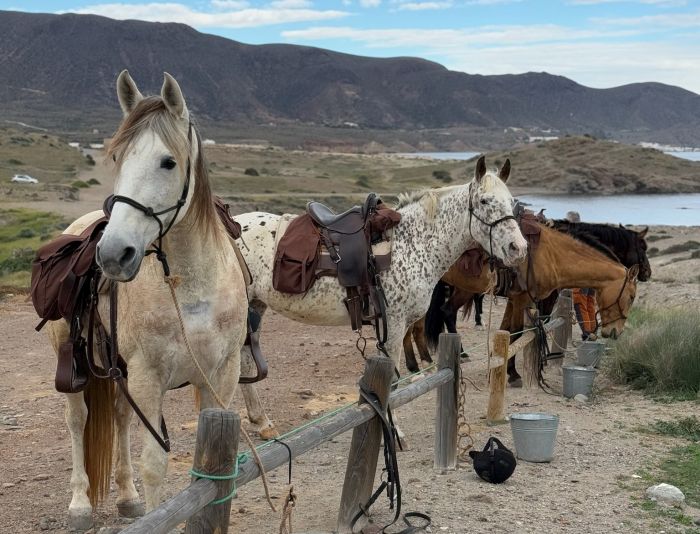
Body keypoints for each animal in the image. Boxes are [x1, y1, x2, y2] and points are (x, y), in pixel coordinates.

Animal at [44, 72, 249, 532]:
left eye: (168, 162)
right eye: (117, 156)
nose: (112, 254)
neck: (190, 287)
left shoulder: (221, 376)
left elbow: (211, 469)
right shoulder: (148, 378)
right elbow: (155, 466)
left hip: (117, 370)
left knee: (120, 418)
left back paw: (127, 497)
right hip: (75, 363)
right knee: (76, 420)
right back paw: (80, 504)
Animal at [235, 157, 524, 442]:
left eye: (512, 202)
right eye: (484, 201)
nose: (518, 249)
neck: (414, 245)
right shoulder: (393, 323)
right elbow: (392, 380)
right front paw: (394, 432)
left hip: (255, 308)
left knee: (246, 362)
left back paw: (263, 423)